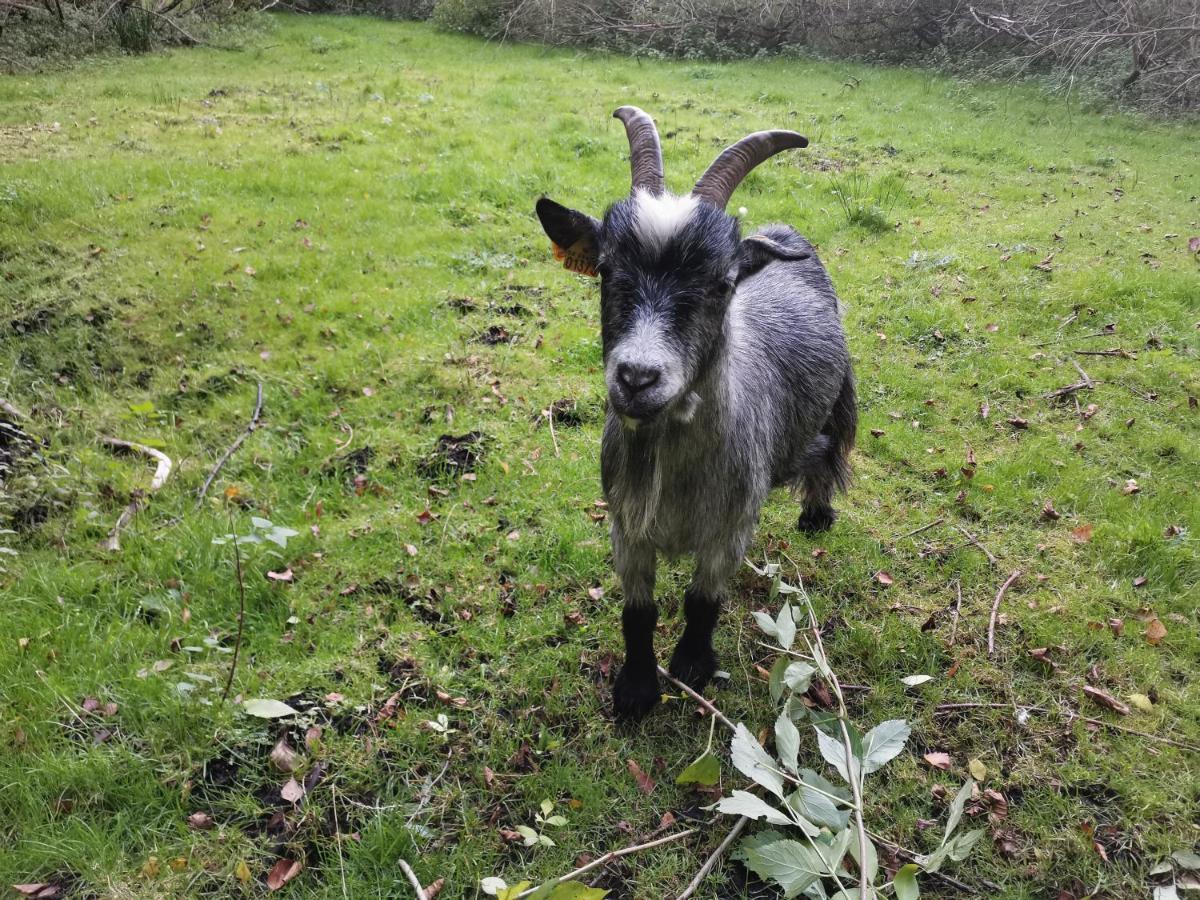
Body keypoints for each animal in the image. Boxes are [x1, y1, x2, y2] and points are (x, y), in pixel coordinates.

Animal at [535, 107, 854, 724]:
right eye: (605, 270)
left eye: (722, 283)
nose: (637, 378)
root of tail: (779, 236)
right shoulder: (626, 526)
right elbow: (638, 612)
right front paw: (636, 690)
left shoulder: (730, 526)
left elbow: (702, 599)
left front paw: (691, 666)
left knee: (831, 445)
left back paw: (816, 513)